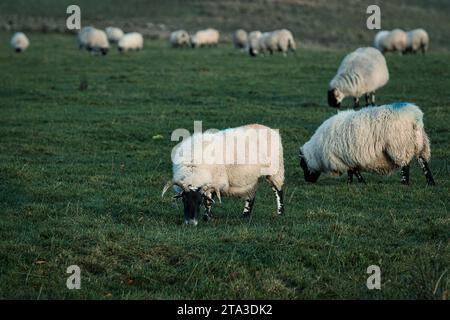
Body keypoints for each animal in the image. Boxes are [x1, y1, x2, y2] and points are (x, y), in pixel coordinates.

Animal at [298, 102, 436, 186]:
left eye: (302, 165)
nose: (307, 181)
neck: (317, 152)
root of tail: (415, 117)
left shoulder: (341, 158)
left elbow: (354, 171)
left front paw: (360, 182)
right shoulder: (348, 157)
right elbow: (352, 171)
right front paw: (351, 183)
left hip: (400, 145)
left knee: (405, 165)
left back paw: (404, 183)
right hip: (421, 144)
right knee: (423, 163)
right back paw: (430, 183)